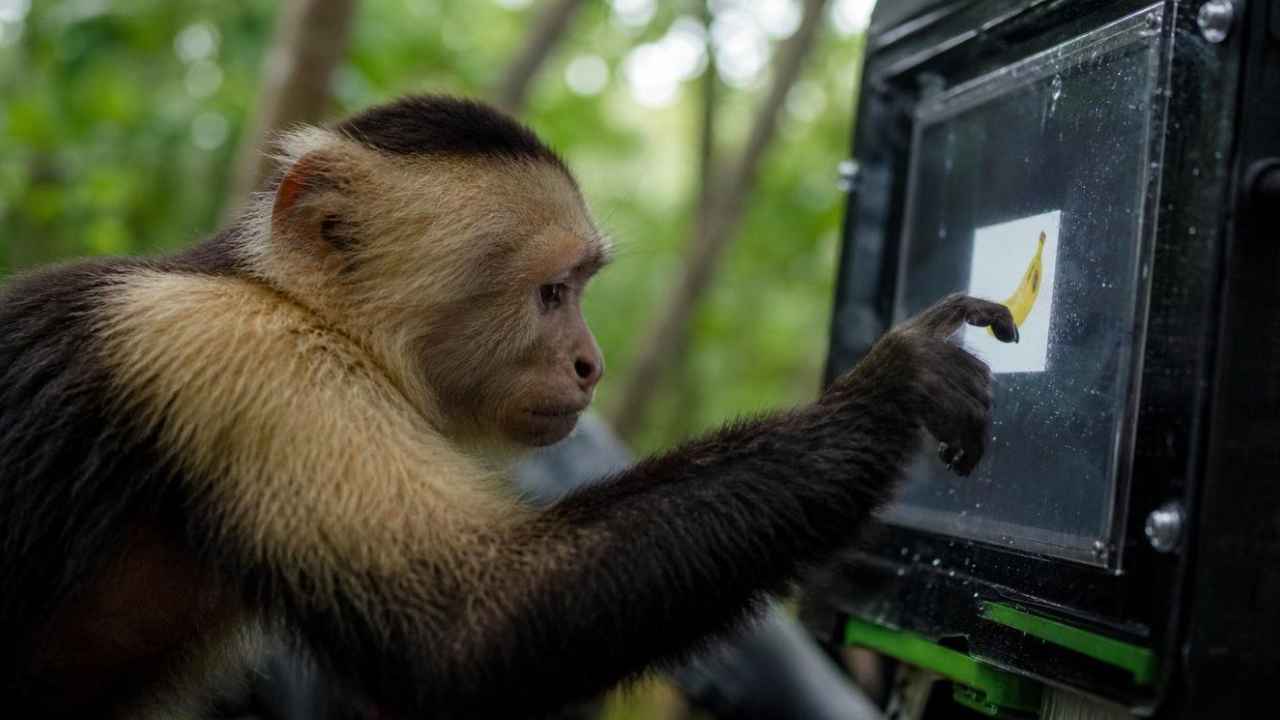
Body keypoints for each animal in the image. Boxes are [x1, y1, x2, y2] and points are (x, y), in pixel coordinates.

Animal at [0, 94, 1017, 718]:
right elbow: (473, 629)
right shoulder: (244, 358)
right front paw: (891, 390)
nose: (592, 366)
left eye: (582, 290)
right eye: (552, 293)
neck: (288, 300)